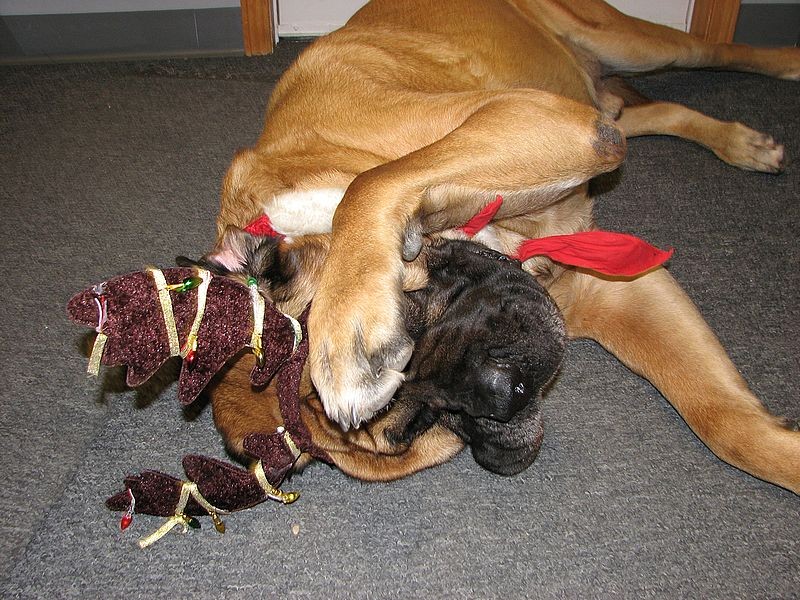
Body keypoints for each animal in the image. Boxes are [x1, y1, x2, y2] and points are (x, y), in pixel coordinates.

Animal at [205, 0, 800, 492]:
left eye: (413, 315)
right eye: (425, 421)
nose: (504, 390)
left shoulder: (531, 116)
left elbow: (374, 181)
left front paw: (348, 332)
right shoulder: (611, 288)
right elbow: (725, 422)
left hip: (624, 43)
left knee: (718, 49)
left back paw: (785, 65)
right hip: (602, 105)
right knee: (651, 111)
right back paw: (744, 143)